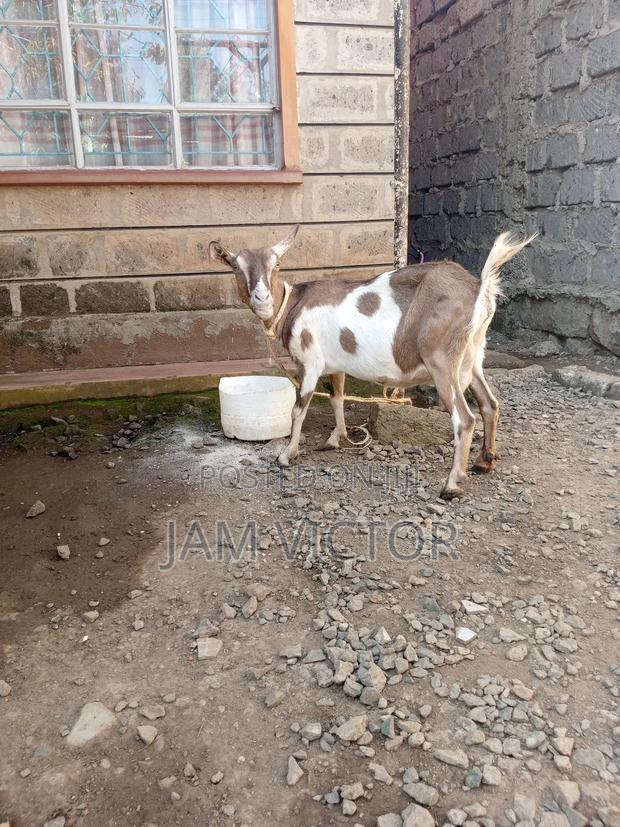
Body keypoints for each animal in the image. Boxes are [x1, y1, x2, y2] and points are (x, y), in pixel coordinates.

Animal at [210, 227, 534, 499]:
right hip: (473, 356)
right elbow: (337, 397)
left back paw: (452, 484)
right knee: (490, 404)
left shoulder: (310, 362)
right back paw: (484, 461)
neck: (293, 303)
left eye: (276, 265)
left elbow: (299, 409)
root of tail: (479, 290)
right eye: (236, 266)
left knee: (464, 419)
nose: (262, 298)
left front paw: (286, 455)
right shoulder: (336, 364)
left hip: (443, 361)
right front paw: (336, 438)